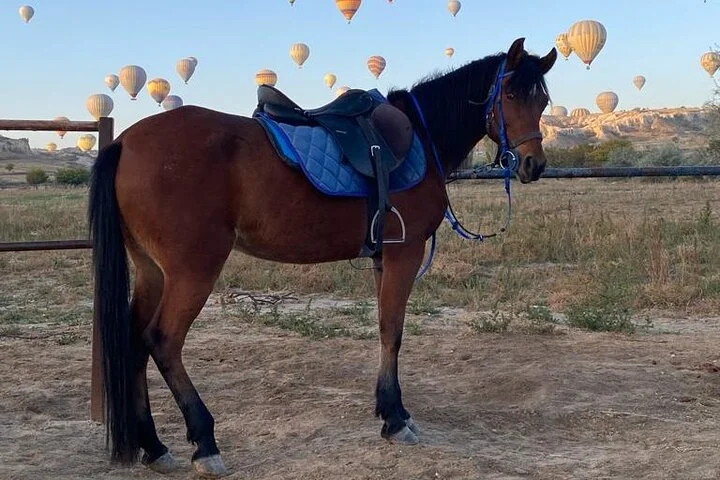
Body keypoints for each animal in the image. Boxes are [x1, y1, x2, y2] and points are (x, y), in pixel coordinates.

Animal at [88, 37, 557, 477]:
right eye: (510, 94)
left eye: (543, 101)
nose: (533, 164)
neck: (422, 137)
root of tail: (126, 142)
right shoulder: (404, 254)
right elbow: (393, 330)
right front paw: (396, 418)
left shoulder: (382, 258)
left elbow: (384, 329)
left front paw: (388, 410)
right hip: (193, 270)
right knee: (162, 341)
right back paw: (205, 443)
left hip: (152, 271)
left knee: (134, 341)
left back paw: (154, 446)